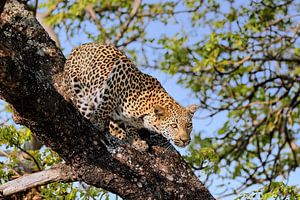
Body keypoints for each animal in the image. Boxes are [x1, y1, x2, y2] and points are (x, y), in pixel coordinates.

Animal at [62, 42, 199, 150]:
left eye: (189, 125)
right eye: (174, 126)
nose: (185, 140)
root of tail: (79, 47)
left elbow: (130, 127)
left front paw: (136, 141)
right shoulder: (119, 73)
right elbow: (107, 103)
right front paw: (99, 122)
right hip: (78, 91)